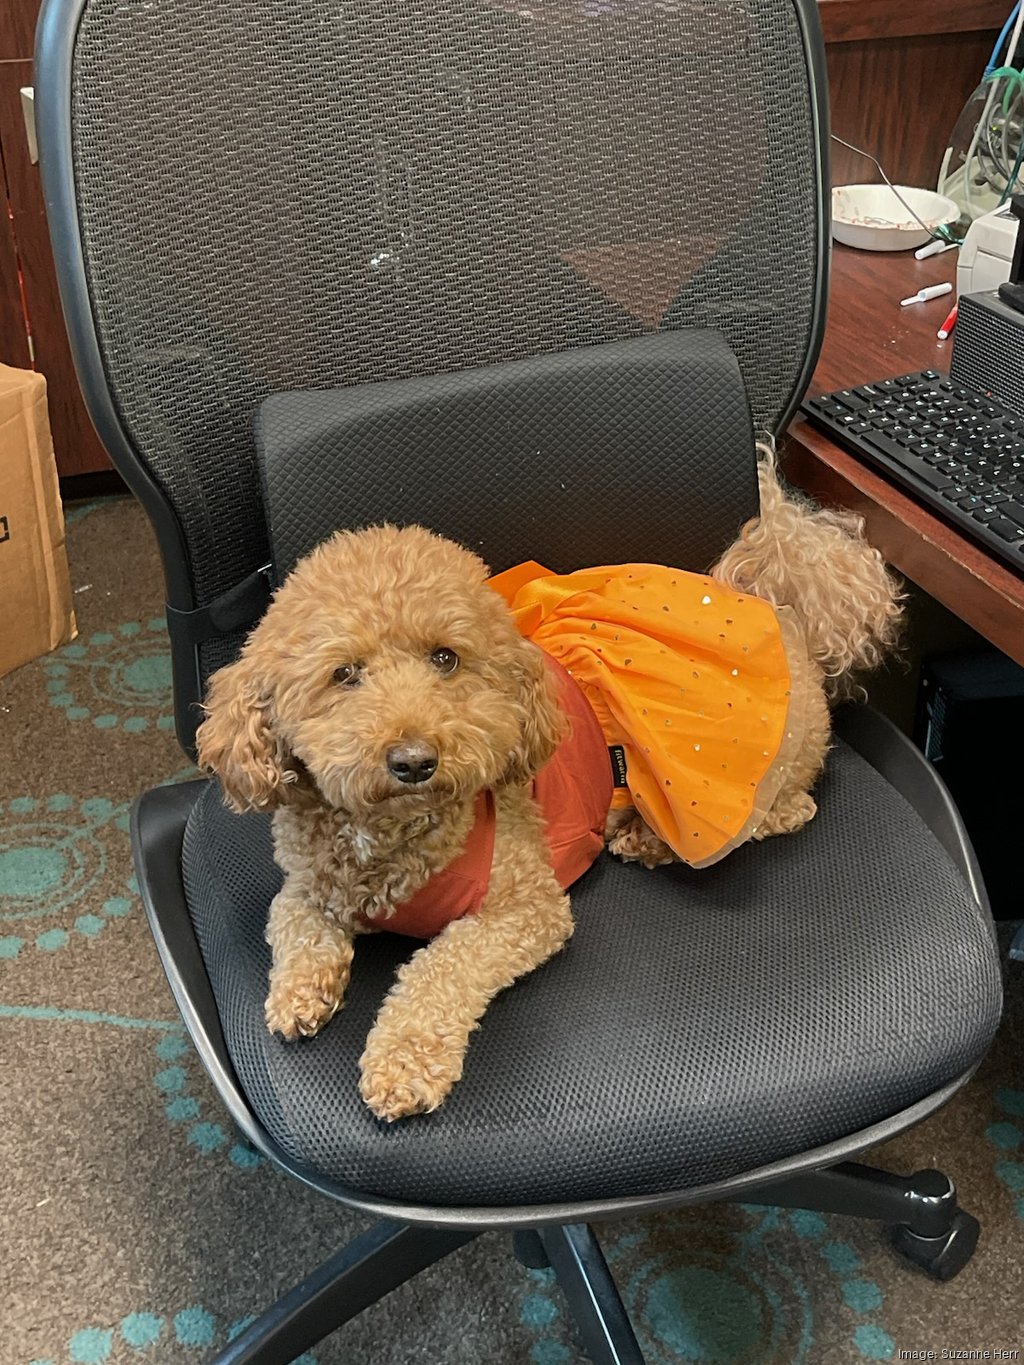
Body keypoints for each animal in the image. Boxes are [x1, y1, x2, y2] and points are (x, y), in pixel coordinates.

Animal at [196, 447, 901, 1119]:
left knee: (789, 810)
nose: (415, 761)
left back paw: (650, 840)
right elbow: (295, 926)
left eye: (445, 658)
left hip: (767, 762)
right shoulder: (308, 886)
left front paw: (403, 1063)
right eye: (344, 673)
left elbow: (441, 968)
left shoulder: (525, 907)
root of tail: (784, 614)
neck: (391, 837)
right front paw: (297, 996)